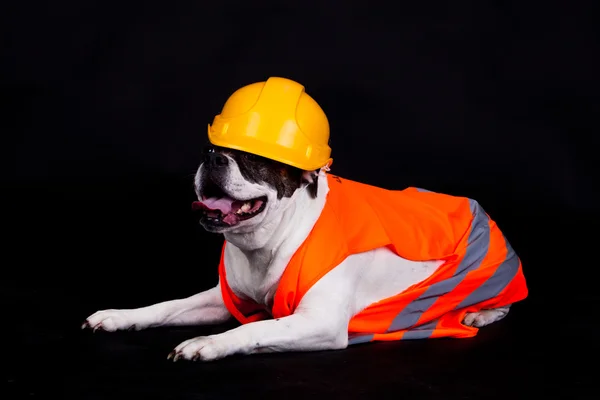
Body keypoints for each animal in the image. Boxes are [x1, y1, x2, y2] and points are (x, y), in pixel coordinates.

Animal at [82, 145, 524, 362]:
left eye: (254, 160)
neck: (270, 239)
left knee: (504, 303)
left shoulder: (321, 322)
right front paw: (119, 316)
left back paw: (477, 314)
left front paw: (208, 343)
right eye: (209, 150)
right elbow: (168, 306)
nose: (210, 157)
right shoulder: (223, 298)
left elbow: (255, 328)